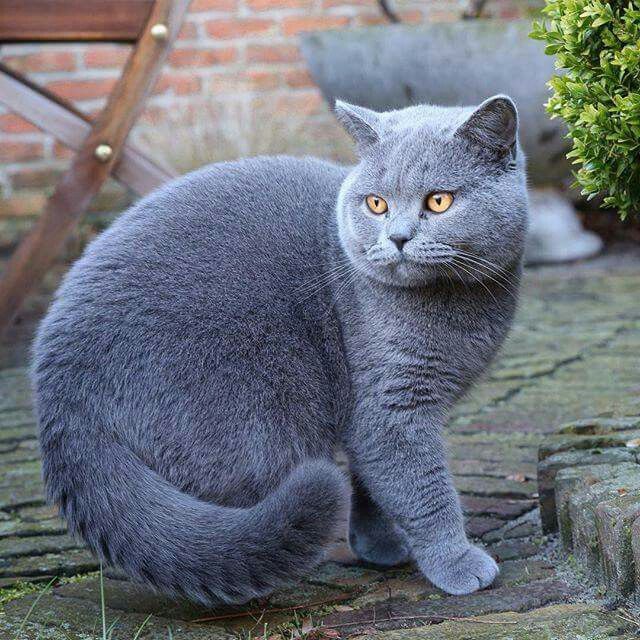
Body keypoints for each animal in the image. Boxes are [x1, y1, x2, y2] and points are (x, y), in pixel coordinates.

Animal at [32, 95, 528, 604]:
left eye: (438, 201)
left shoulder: (366, 412)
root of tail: (59, 388)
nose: (398, 237)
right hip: (254, 424)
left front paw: (377, 545)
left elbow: (371, 478)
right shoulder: (391, 406)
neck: (457, 307)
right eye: (377, 204)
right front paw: (456, 562)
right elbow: (421, 488)